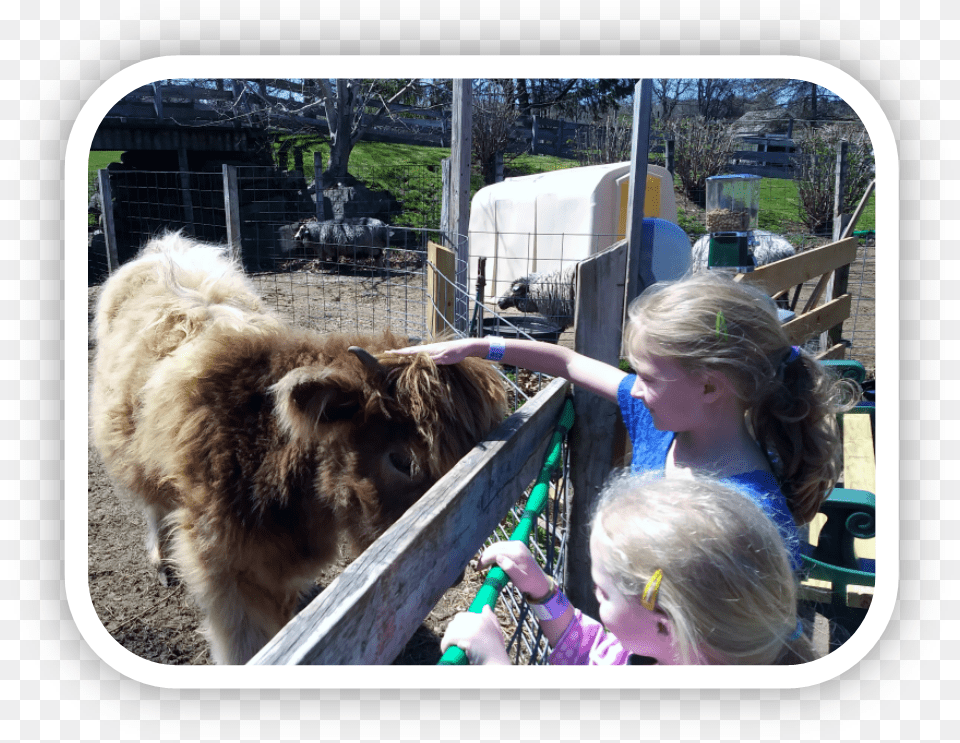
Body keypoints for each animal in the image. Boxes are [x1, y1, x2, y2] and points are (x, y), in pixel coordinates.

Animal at [92, 232, 510, 664]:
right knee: (152, 503)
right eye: (402, 459)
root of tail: (165, 245)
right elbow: (243, 645)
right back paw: (162, 560)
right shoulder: (223, 575)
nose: (454, 570)